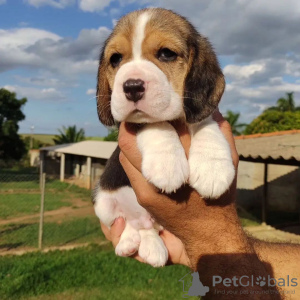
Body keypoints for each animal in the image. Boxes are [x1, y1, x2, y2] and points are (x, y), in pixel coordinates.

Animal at [93, 8, 234, 268]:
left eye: (166, 53)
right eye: (115, 59)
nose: (132, 86)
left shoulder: (204, 112)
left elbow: (206, 123)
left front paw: (213, 169)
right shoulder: (136, 122)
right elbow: (156, 123)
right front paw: (167, 165)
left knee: (148, 229)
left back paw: (148, 247)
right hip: (102, 202)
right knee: (130, 224)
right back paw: (128, 243)